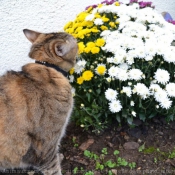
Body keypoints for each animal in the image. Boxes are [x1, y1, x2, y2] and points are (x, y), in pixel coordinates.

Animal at [0, 29, 77, 174]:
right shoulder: (44, 151)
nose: (75, 36)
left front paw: (60, 156)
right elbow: (54, 168)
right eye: (75, 42)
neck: (48, 68)